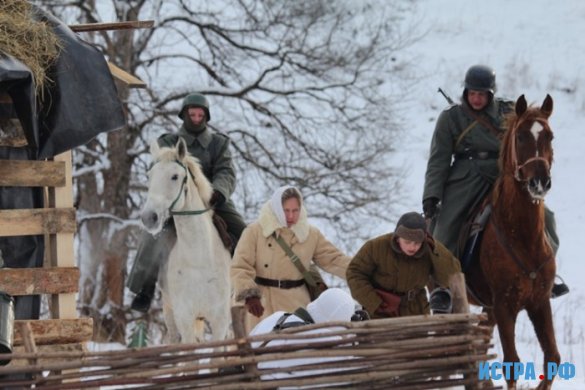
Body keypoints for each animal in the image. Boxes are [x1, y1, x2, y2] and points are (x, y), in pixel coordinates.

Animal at [141, 137, 230, 344]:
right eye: (149, 176)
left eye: (174, 176)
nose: (149, 217)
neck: (199, 259)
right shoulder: (185, 319)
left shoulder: (220, 321)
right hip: (170, 313)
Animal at [468, 95, 560, 390]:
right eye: (520, 136)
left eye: (550, 136)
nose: (539, 183)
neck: (523, 236)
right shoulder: (504, 305)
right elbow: (511, 364)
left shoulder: (539, 301)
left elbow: (553, 357)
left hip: (488, 309)